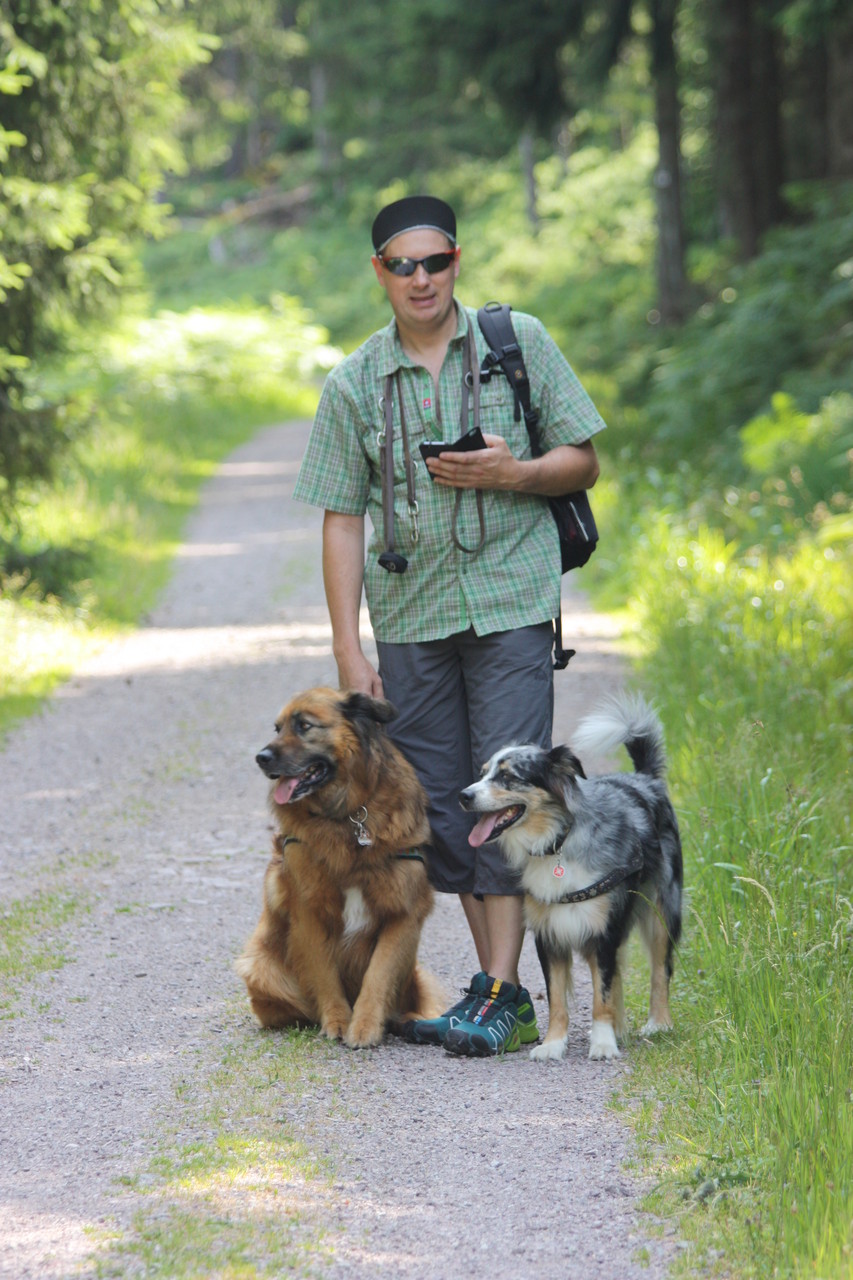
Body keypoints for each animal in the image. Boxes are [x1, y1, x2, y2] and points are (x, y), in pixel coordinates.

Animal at [235, 696, 440, 1044]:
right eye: (277, 729)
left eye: (304, 726)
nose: (261, 758)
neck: (348, 814)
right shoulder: (308, 912)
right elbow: (324, 974)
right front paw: (338, 1021)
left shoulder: (402, 913)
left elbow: (379, 974)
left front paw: (366, 1025)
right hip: (261, 968)